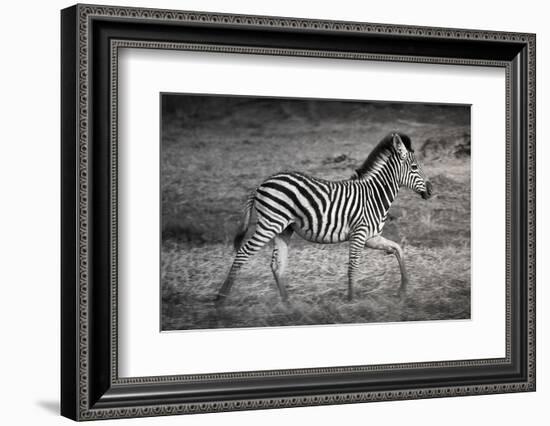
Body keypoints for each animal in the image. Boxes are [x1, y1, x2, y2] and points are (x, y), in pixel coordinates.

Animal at [217, 131, 436, 302]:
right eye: (415, 168)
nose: (431, 191)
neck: (374, 195)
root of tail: (261, 184)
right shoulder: (359, 234)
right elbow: (352, 266)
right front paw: (351, 300)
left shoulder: (371, 237)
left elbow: (398, 249)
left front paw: (403, 289)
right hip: (270, 224)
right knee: (243, 253)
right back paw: (221, 298)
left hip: (283, 229)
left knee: (277, 265)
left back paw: (288, 304)